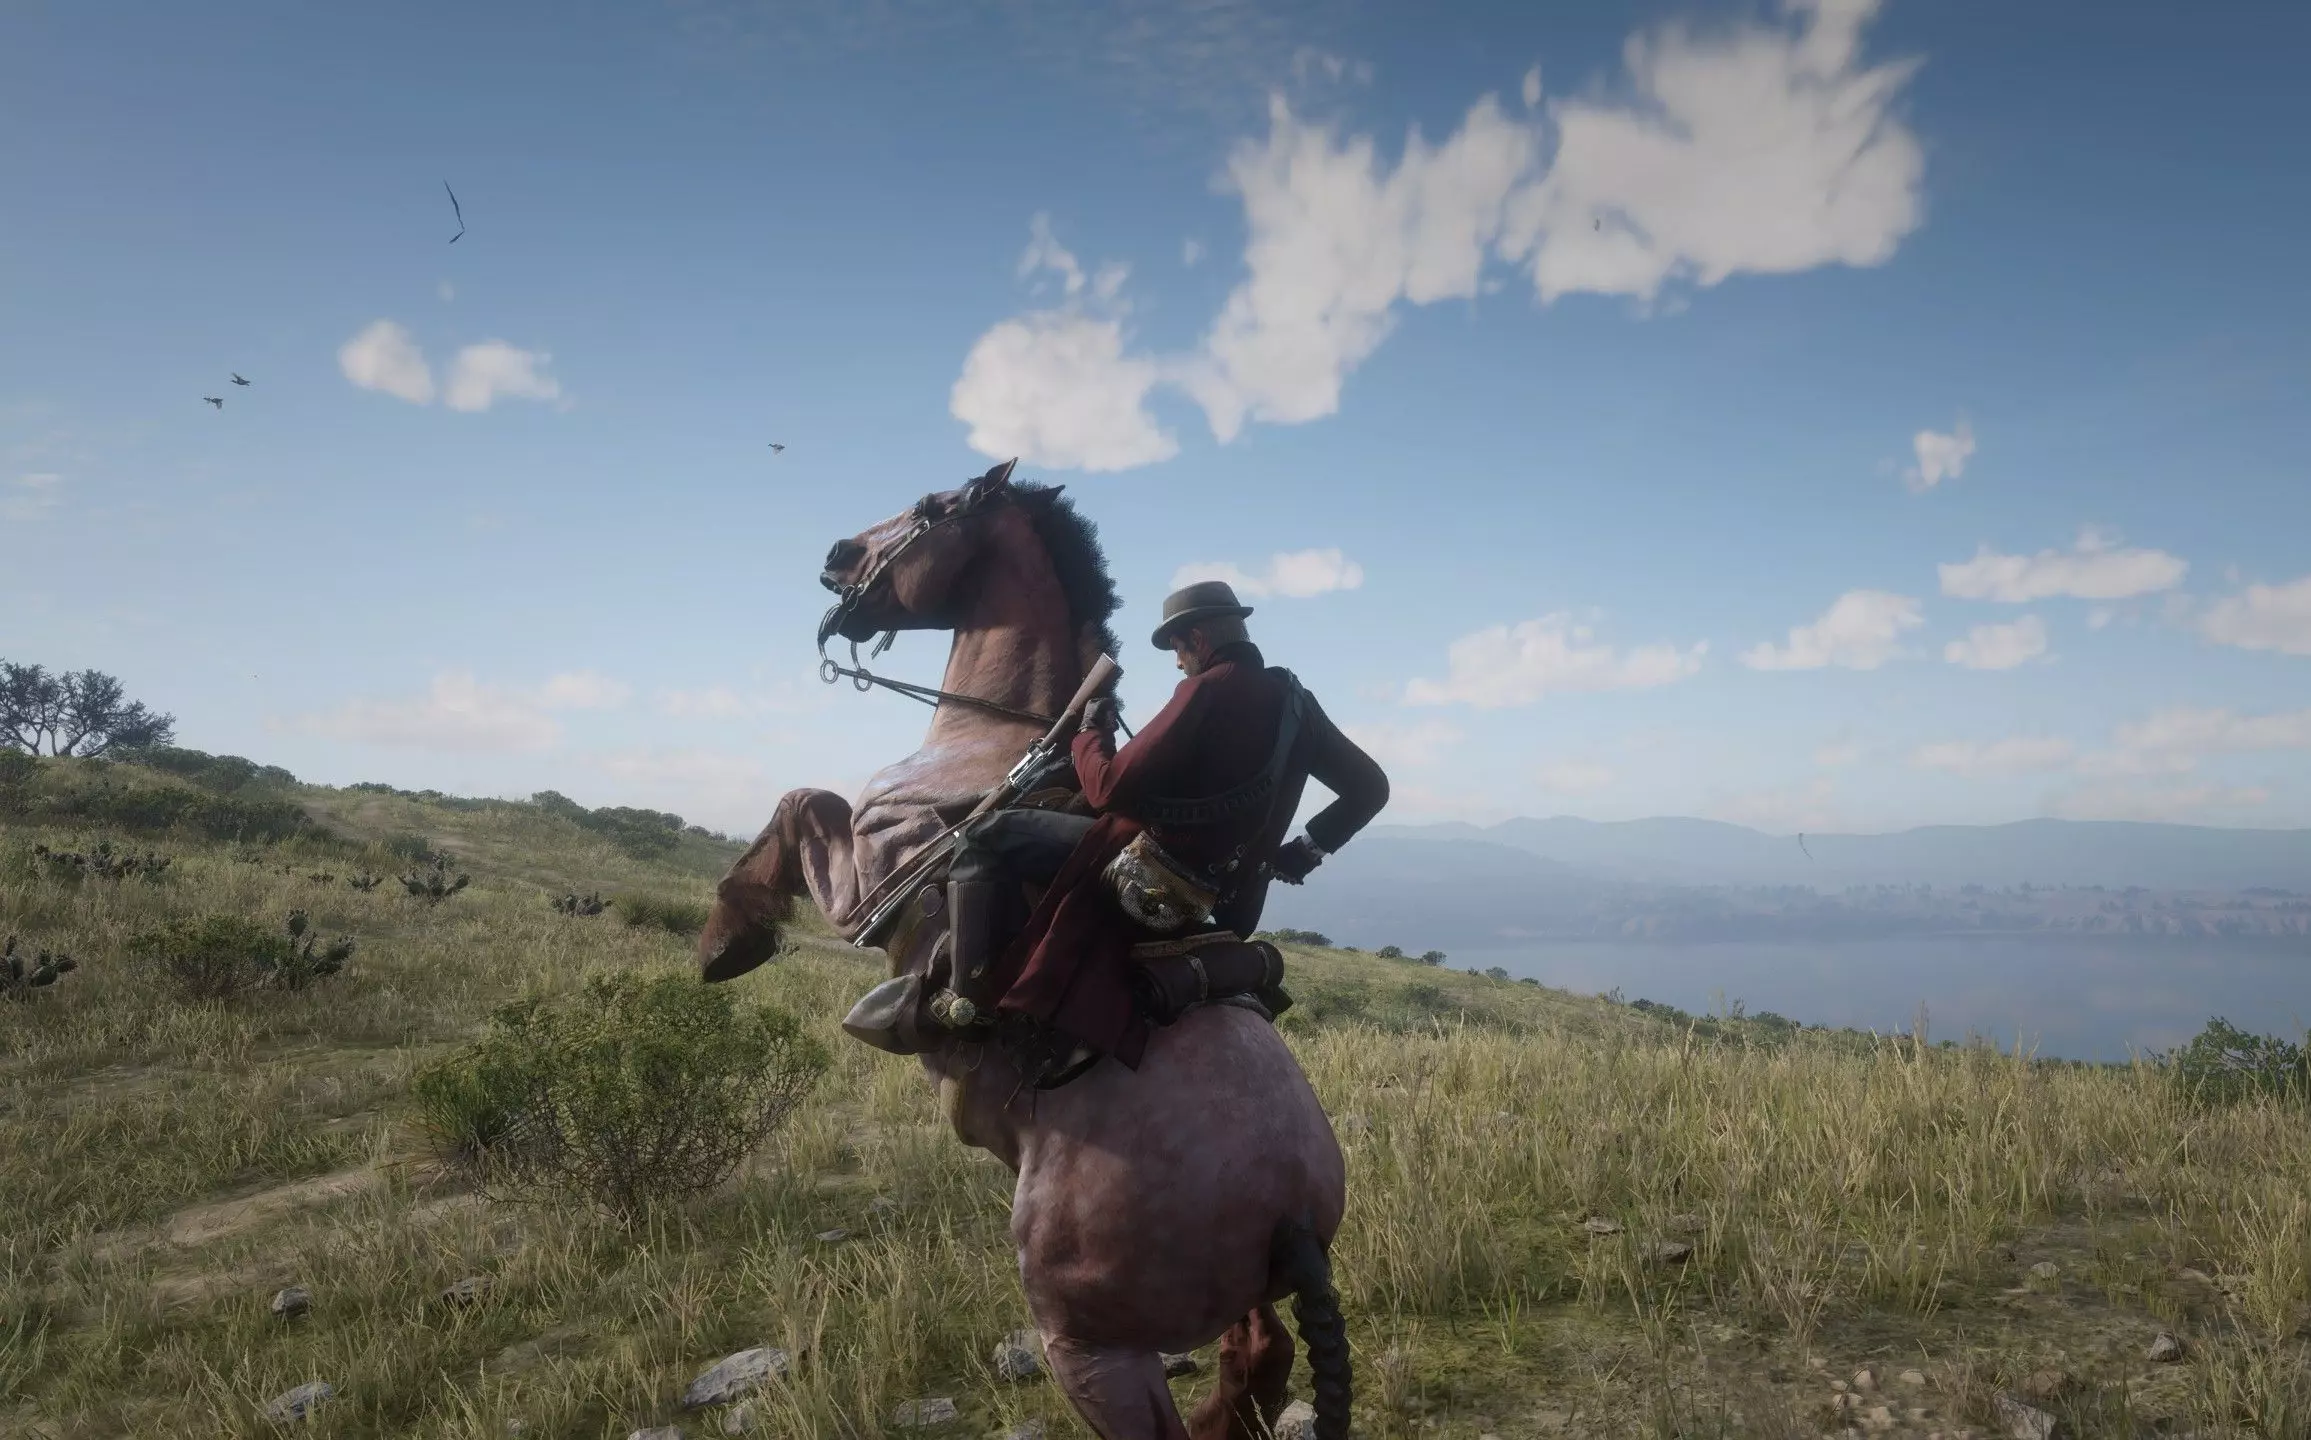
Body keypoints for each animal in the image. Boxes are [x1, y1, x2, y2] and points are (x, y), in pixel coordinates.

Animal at [697, 461, 1351, 1440]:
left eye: (929, 510)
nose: (837, 554)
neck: (996, 740)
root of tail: (1293, 1218)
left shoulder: (865, 886)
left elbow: (796, 804)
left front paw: (727, 940)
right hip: (1240, 1302)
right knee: (1260, 1354)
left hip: (1091, 1350)